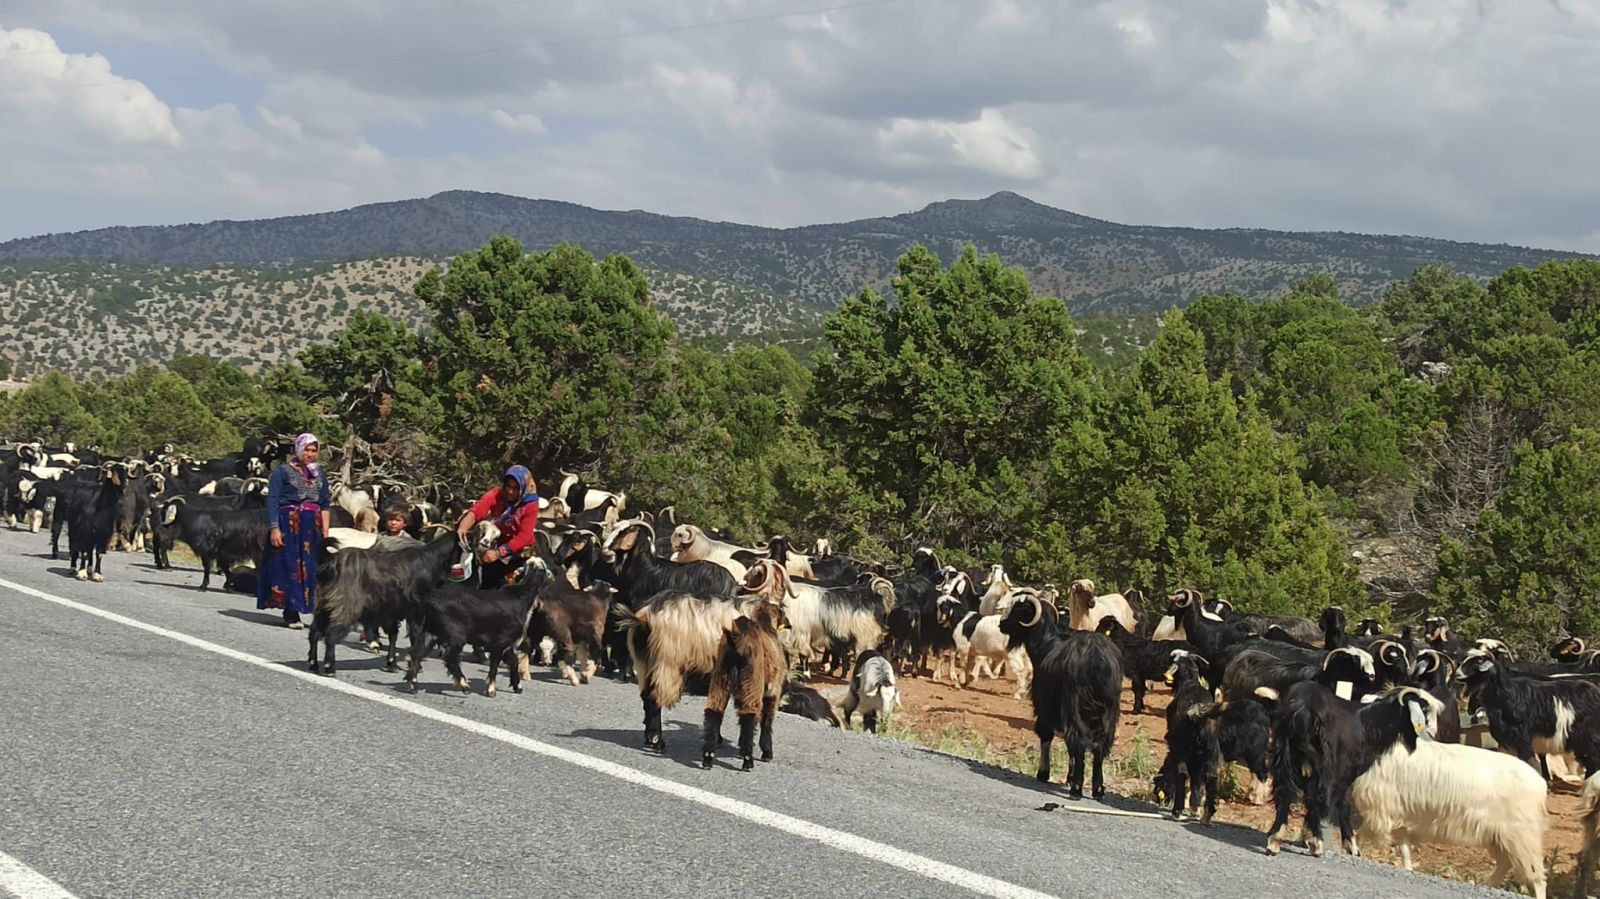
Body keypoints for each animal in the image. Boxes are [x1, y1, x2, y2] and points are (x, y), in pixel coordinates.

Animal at [702, 600, 788, 770]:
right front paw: (767, 752)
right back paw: (748, 760)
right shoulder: (773, 691)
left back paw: (708, 757)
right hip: (751, 683)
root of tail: (736, 640)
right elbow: (767, 720)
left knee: (713, 712)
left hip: (720, 680)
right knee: (749, 715)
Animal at [999, 590, 1122, 800]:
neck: (1046, 643)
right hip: (1108, 711)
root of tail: (1097, 660)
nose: (1001, 624)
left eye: (1019, 609)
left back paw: (1077, 789)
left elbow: (1046, 734)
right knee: (1099, 744)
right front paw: (1068, 777)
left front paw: (1043, 773)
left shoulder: (1043, 704)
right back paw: (1097, 789)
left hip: (1074, 705)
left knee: (1078, 740)